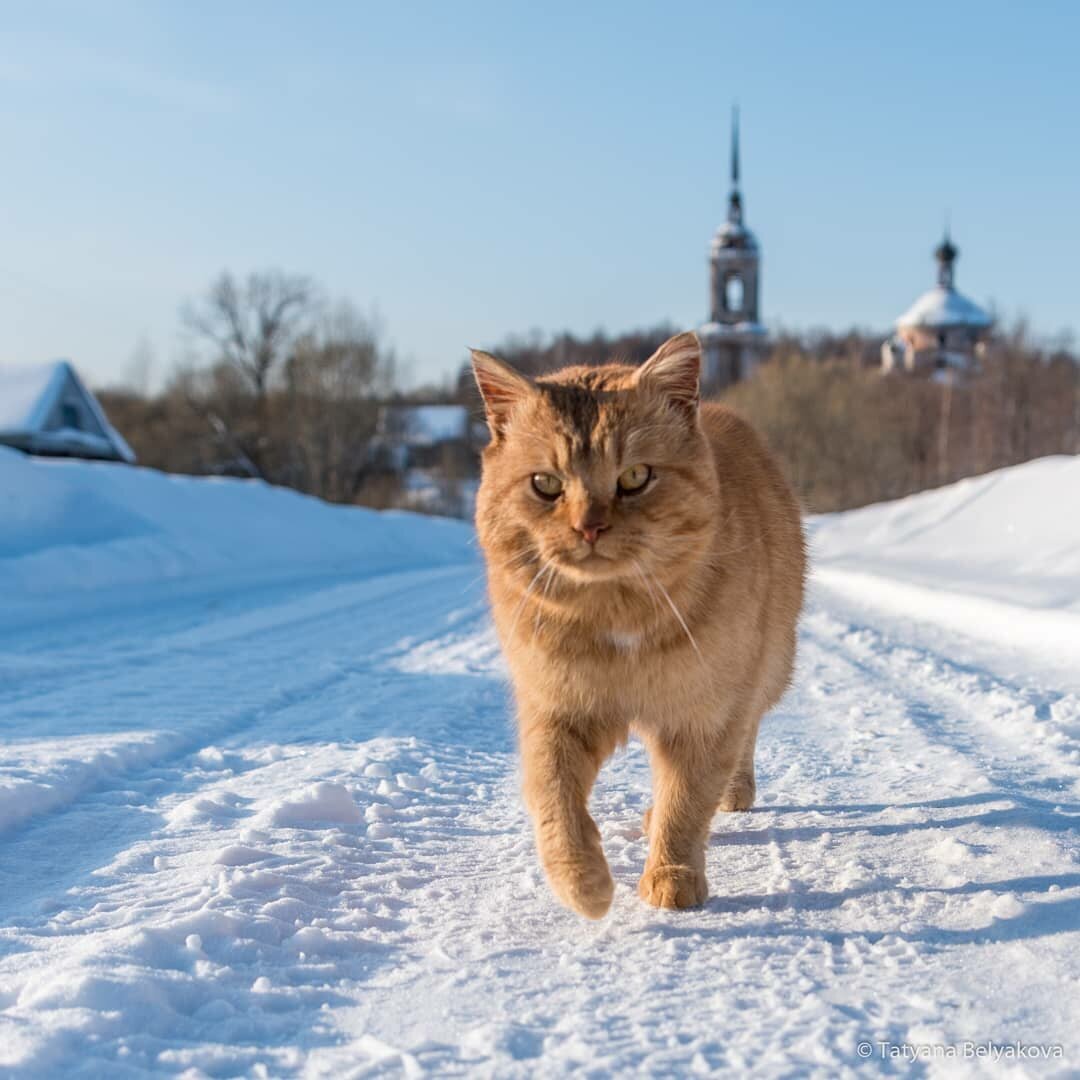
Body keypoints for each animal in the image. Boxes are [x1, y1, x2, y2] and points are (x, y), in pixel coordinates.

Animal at [470, 332, 803, 915]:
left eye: (634, 477)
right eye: (545, 484)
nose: (589, 528)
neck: (615, 614)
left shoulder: (705, 714)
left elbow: (686, 801)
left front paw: (671, 874)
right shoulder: (556, 709)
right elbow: (554, 798)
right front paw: (585, 884)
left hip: (767, 671)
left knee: (741, 744)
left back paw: (728, 796)